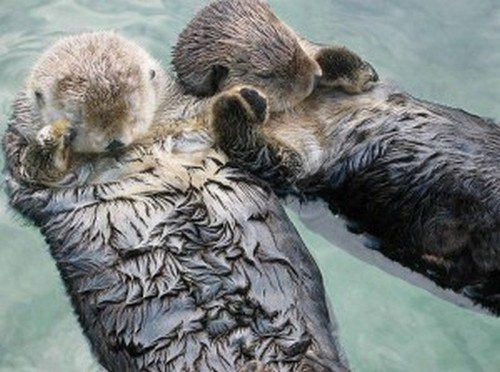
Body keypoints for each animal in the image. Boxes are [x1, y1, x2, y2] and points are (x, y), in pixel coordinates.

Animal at [1, 32, 350, 372]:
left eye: (133, 107)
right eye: (77, 117)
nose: (115, 141)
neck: (141, 145)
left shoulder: (189, 119)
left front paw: (245, 97)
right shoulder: (23, 170)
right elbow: (37, 170)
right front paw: (52, 137)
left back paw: (236, 106)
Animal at [173, 0, 500, 314]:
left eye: (292, 39)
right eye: (267, 74)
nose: (313, 76)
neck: (302, 107)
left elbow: (364, 70)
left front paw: (328, 62)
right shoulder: (295, 163)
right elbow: (264, 155)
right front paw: (237, 101)